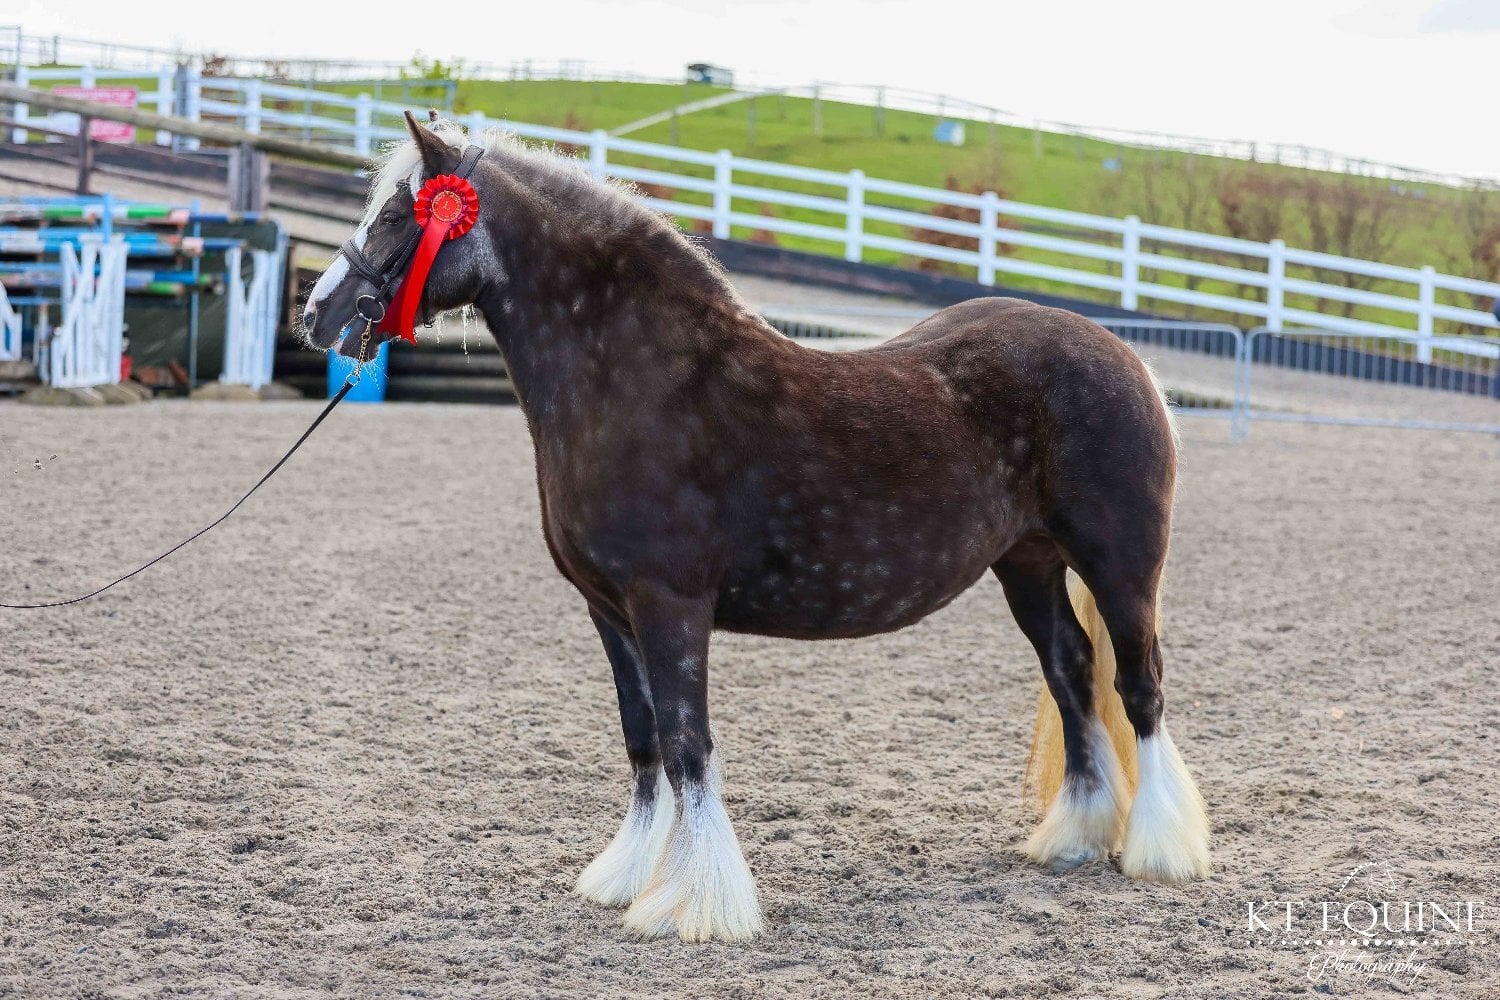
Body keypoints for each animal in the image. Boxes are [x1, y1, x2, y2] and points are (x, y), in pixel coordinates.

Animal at [301, 112, 1210, 943]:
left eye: (399, 215)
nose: (318, 313)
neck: (638, 379)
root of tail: (1129, 360)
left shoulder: (670, 604)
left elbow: (687, 744)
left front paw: (698, 905)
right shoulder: (609, 610)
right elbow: (643, 740)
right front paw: (628, 875)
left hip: (1122, 566)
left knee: (1139, 688)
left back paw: (1159, 849)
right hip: (1028, 565)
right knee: (1071, 671)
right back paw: (1076, 837)